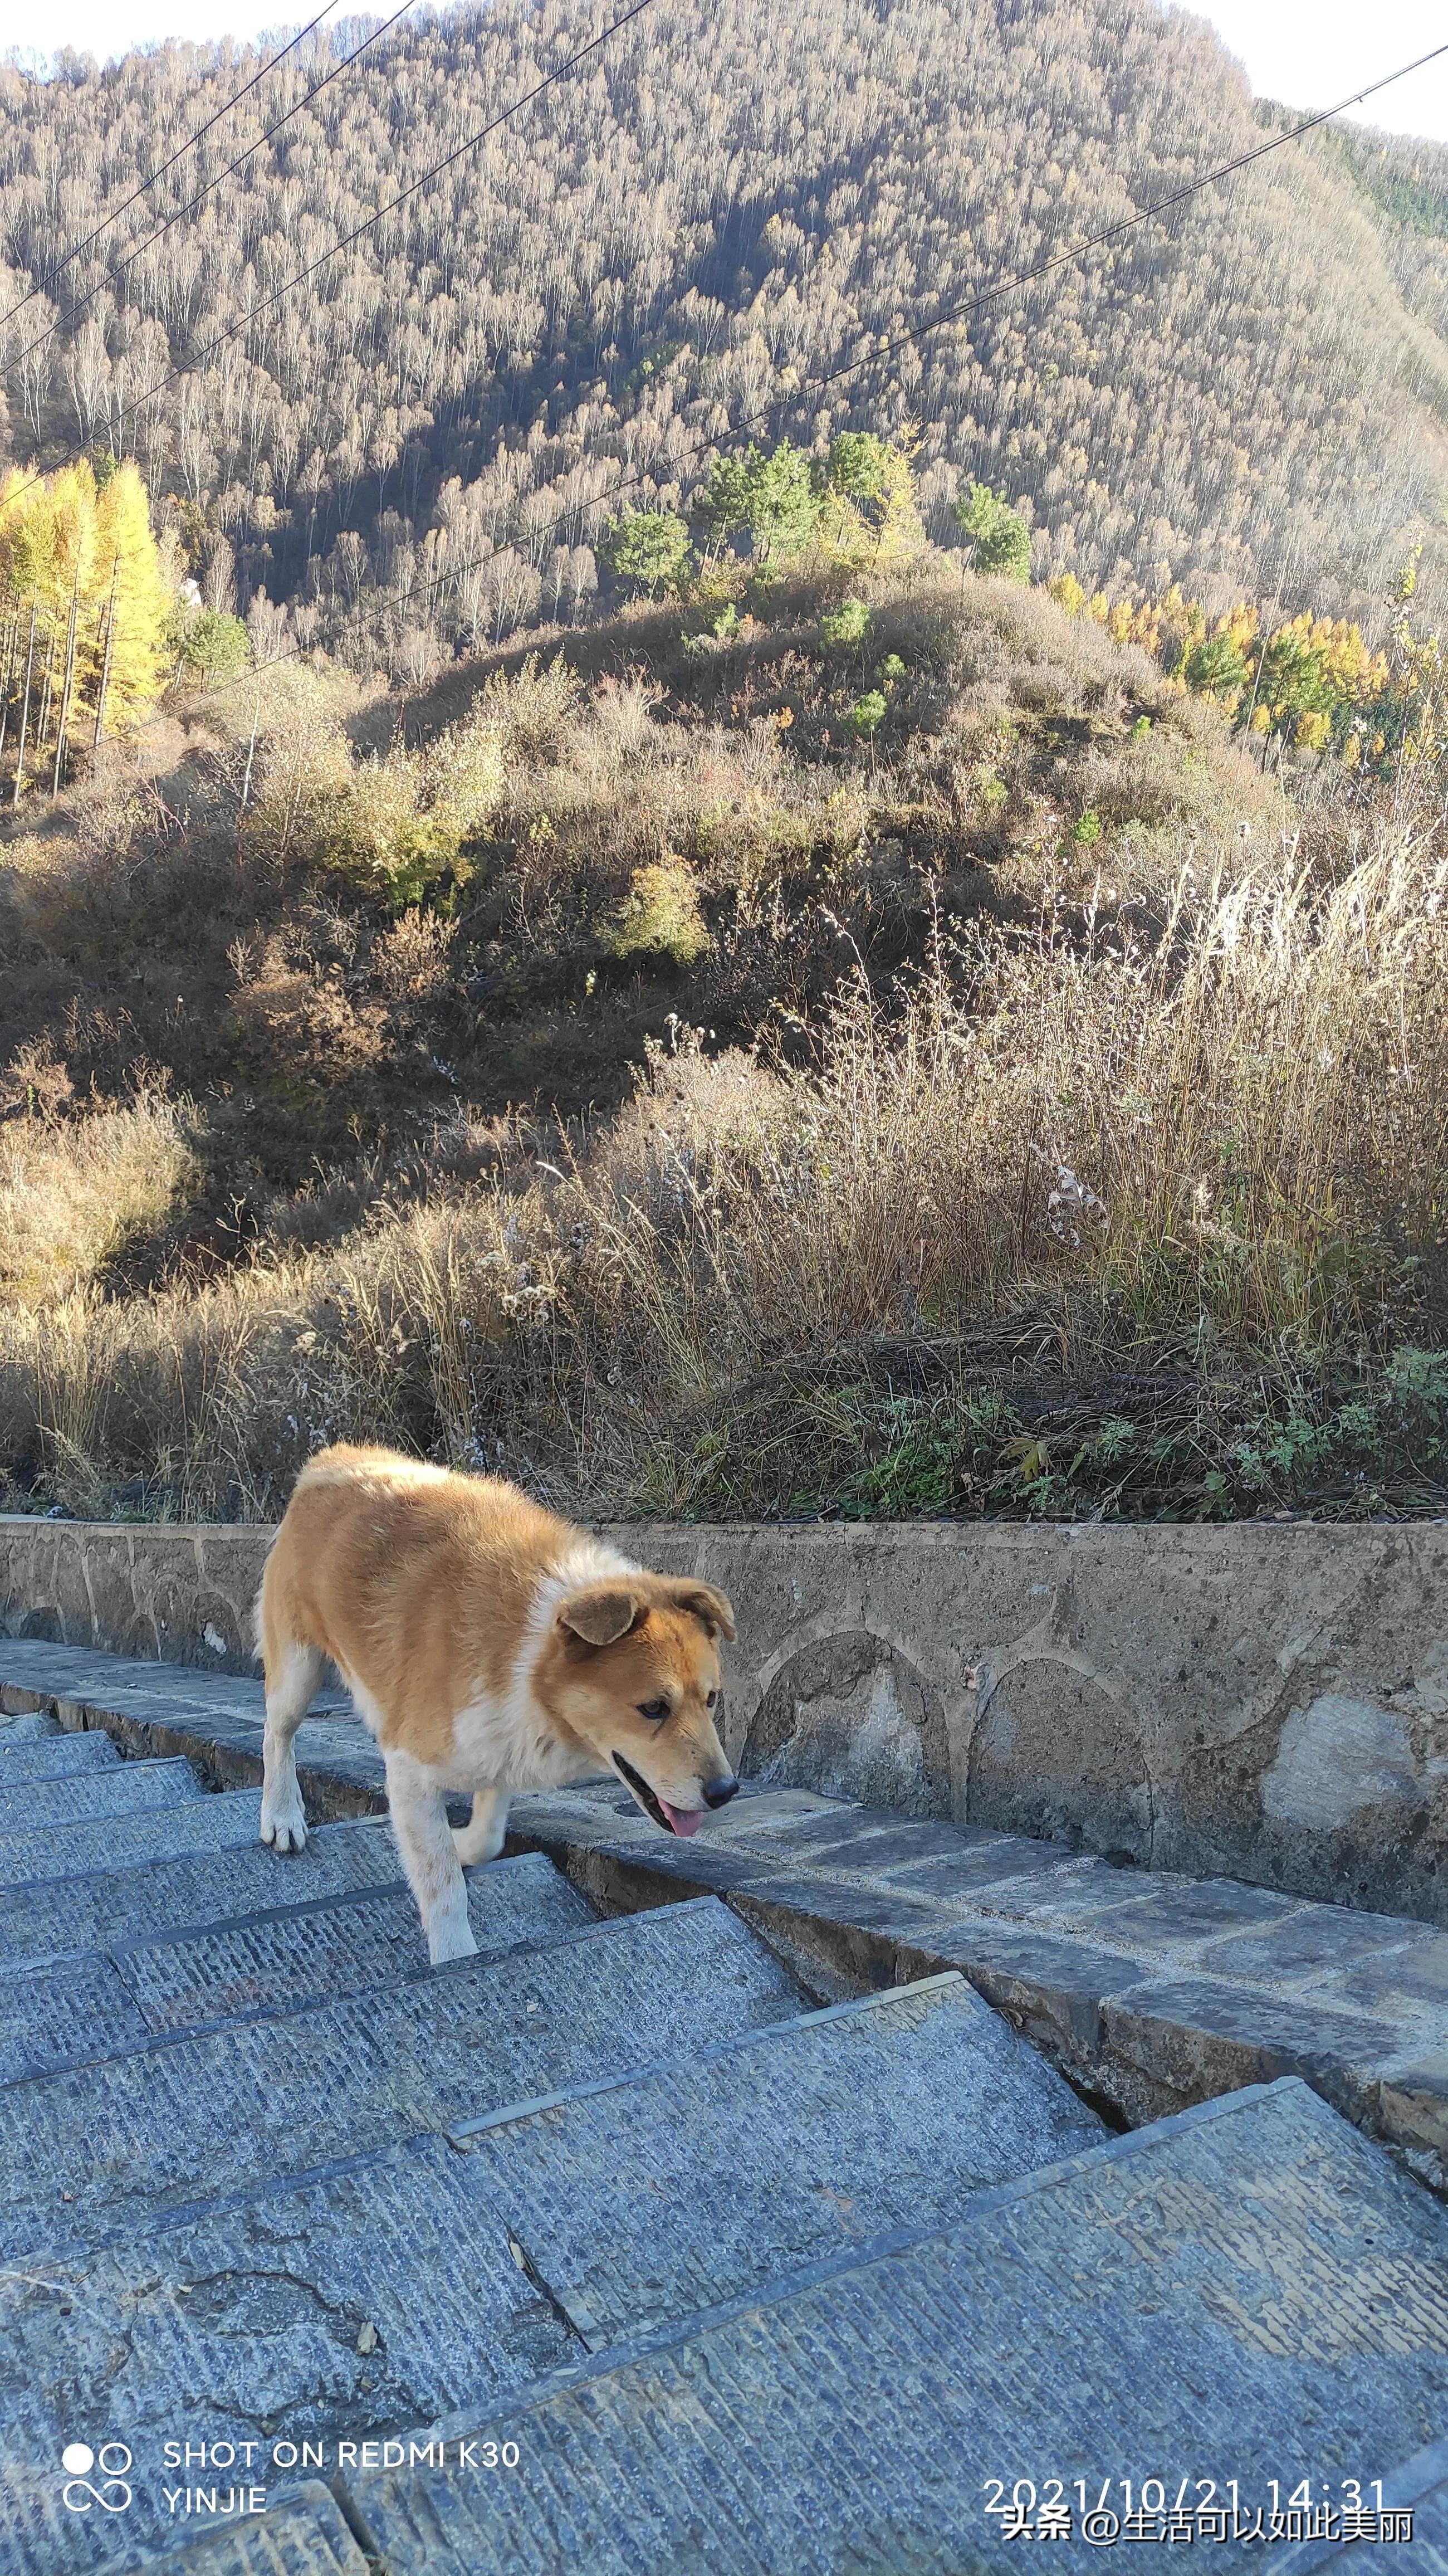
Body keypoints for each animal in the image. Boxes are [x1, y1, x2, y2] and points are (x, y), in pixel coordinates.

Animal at [251, 1442, 731, 1958]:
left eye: (711, 1700)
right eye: (653, 1708)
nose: (727, 1792)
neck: (531, 1650)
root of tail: (334, 1457)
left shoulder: (501, 1738)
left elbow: (487, 1836)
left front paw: (461, 1845)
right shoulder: (409, 1771)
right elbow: (442, 1885)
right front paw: (454, 1956)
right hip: (297, 1670)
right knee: (276, 1735)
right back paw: (282, 1816)